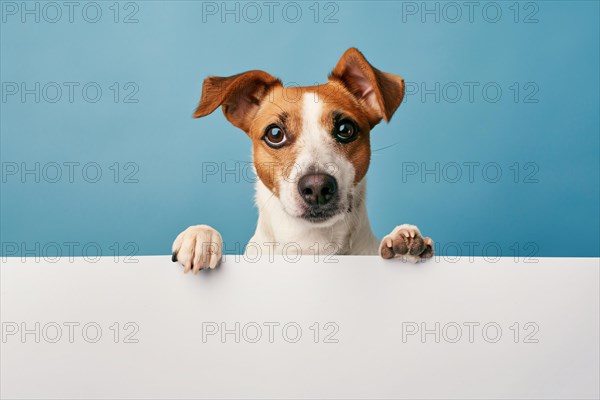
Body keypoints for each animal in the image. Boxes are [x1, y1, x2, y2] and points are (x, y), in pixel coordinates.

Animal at [171, 47, 434, 272]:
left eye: (345, 129)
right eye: (274, 134)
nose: (317, 186)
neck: (312, 245)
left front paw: (403, 241)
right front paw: (200, 237)